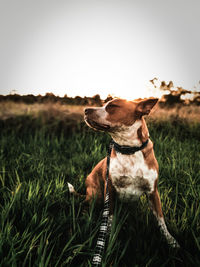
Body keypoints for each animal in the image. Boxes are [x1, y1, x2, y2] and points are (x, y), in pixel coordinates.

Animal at [68, 98, 180, 249]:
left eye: (112, 106)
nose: (86, 109)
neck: (128, 149)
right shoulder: (110, 190)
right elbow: (109, 218)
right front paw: (107, 238)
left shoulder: (153, 192)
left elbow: (161, 220)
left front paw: (170, 241)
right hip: (96, 194)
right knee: (85, 204)